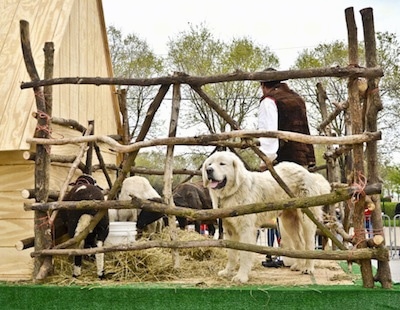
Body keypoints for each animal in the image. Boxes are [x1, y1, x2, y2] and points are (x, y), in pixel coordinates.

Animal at [202, 151, 330, 284]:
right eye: (210, 164)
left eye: (222, 164)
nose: (209, 170)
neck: (234, 192)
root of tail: (308, 173)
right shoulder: (229, 230)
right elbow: (231, 254)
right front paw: (227, 272)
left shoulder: (247, 230)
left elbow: (244, 254)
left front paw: (241, 277)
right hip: (288, 222)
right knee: (299, 243)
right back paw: (298, 265)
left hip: (306, 219)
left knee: (309, 243)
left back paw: (308, 268)